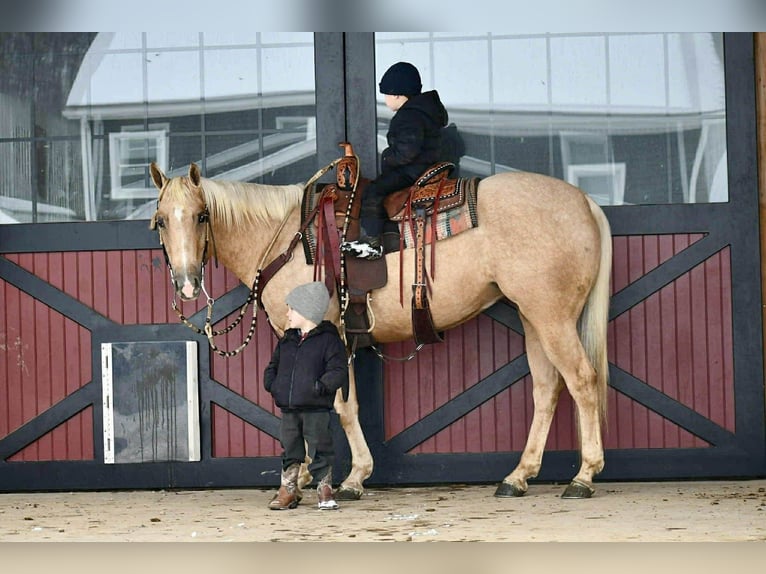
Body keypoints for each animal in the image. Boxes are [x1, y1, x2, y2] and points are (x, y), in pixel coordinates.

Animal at [148, 159, 612, 500]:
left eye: (202, 215)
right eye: (160, 221)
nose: (188, 283)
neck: (286, 239)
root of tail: (584, 201)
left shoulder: (325, 334)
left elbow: (338, 406)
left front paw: (350, 478)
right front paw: (310, 476)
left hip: (552, 317)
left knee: (582, 381)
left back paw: (583, 476)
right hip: (533, 317)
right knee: (547, 389)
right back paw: (518, 476)